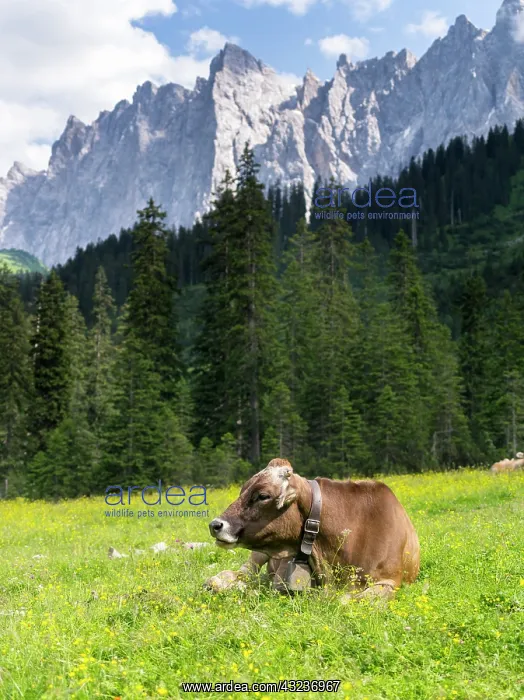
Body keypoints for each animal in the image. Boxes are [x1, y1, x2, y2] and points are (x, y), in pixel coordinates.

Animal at [206, 458, 420, 602]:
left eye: (263, 496)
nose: (215, 525)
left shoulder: (390, 581)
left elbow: (349, 600)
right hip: (258, 556)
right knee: (242, 573)